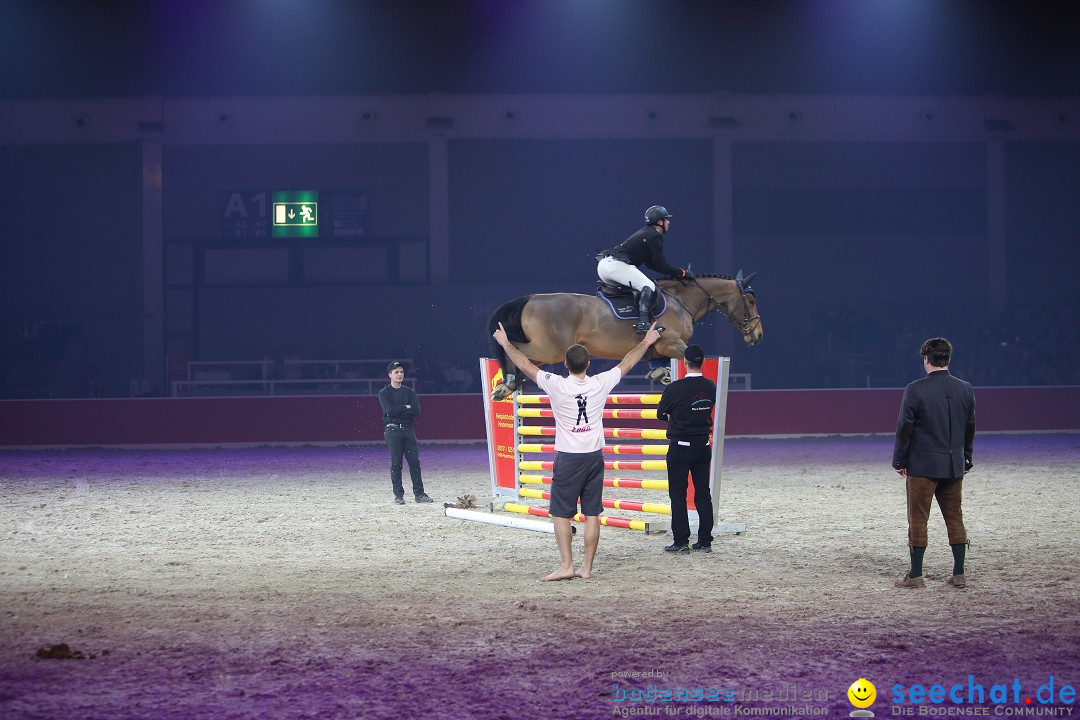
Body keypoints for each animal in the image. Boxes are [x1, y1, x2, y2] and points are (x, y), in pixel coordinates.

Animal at [486, 269, 764, 399]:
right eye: (750, 301)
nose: (758, 335)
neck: (681, 301)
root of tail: (530, 298)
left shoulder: (658, 350)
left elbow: (659, 365)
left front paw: (660, 374)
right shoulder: (672, 344)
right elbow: (689, 355)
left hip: (546, 352)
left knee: (521, 359)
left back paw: (507, 385)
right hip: (549, 349)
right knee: (514, 350)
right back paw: (507, 381)